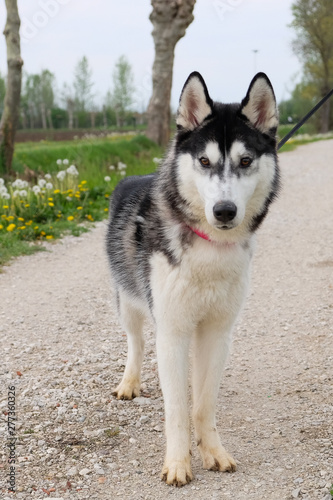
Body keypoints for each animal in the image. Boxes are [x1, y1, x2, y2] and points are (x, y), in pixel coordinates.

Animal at [105, 72, 278, 486]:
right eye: (204, 161)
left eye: (245, 161)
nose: (224, 210)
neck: (209, 249)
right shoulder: (173, 330)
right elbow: (178, 409)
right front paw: (178, 462)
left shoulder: (216, 332)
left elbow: (203, 403)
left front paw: (212, 451)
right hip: (127, 300)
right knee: (136, 342)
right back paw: (130, 382)